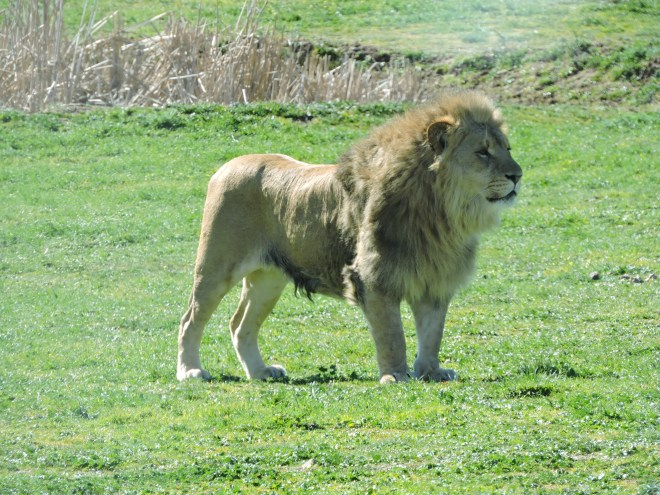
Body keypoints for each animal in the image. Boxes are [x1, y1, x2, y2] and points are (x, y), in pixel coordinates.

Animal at [177, 89, 522, 383]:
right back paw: (190, 371)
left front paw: (430, 372)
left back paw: (260, 372)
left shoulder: (434, 279)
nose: (517, 175)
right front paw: (395, 375)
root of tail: (227, 165)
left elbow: (432, 334)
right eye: (483, 152)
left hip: (269, 278)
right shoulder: (374, 278)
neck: (442, 214)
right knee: (190, 319)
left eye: (508, 148)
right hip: (216, 267)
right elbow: (393, 334)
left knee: (240, 324)